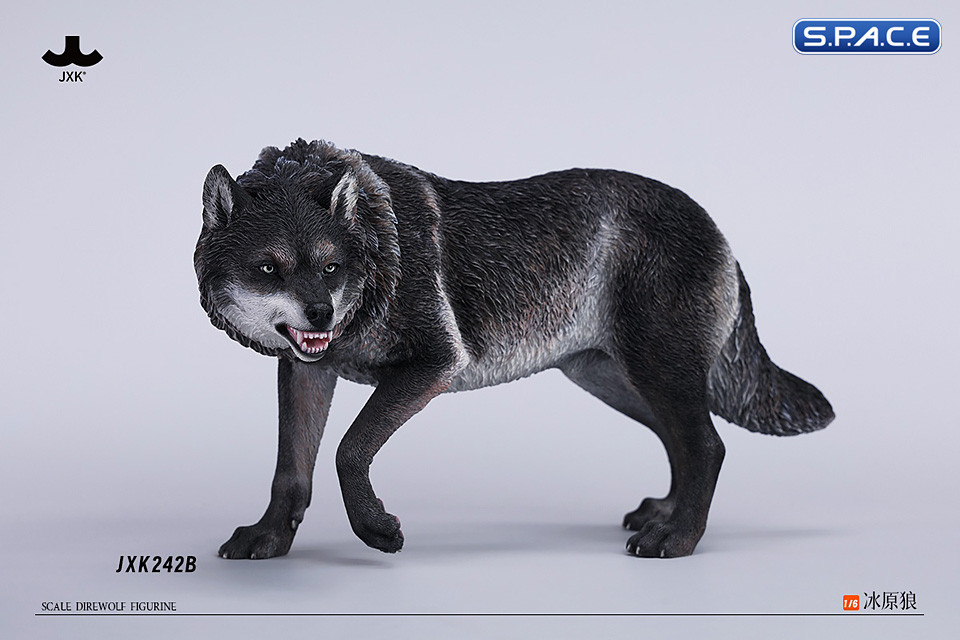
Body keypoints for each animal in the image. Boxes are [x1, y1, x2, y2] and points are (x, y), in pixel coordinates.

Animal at [194, 139, 834, 560]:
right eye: (268, 268)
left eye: (330, 268)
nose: (322, 315)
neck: (380, 250)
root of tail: (719, 230)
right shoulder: (307, 370)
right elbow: (290, 470)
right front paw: (270, 539)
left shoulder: (434, 365)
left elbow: (349, 451)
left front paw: (377, 531)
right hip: (615, 382)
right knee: (687, 442)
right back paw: (666, 514)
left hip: (656, 374)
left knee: (707, 444)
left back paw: (677, 539)